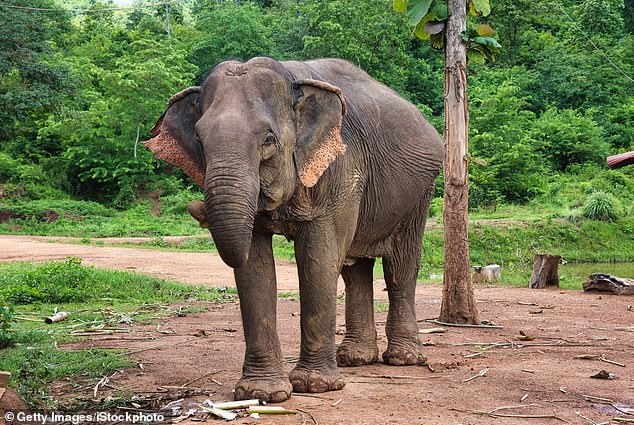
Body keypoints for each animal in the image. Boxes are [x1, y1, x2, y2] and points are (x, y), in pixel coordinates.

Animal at [144, 56, 442, 400]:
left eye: (268, 140)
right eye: (199, 141)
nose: (197, 209)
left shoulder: (340, 167)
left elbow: (318, 258)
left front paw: (314, 387)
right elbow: (256, 267)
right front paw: (262, 393)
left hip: (420, 192)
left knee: (400, 266)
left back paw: (403, 359)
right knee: (355, 269)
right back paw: (355, 359)